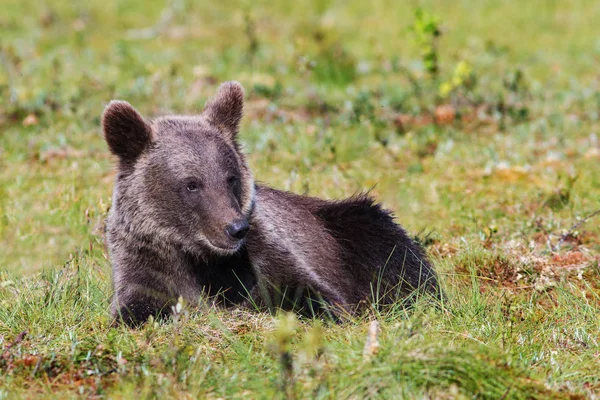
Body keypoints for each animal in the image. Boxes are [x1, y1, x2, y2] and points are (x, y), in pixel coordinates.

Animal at [103, 80, 440, 324]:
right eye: (191, 184)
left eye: (230, 177)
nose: (235, 228)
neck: (195, 255)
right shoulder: (145, 261)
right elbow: (136, 306)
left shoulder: (267, 255)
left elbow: (309, 292)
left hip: (347, 228)